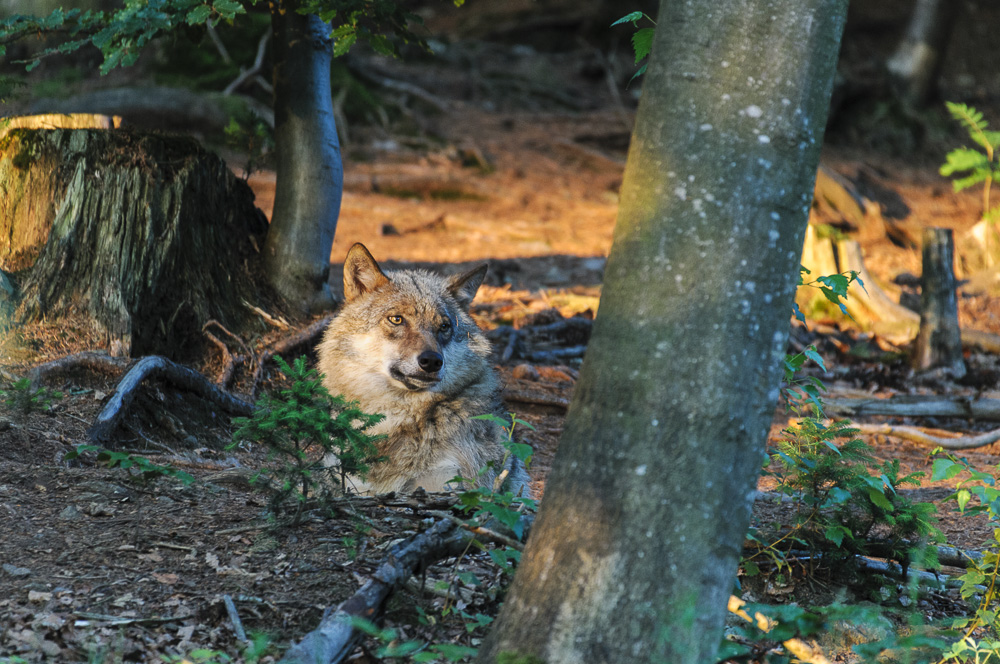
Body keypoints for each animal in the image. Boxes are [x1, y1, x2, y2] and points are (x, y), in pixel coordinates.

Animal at [316, 244, 532, 498]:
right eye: (396, 319)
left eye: (444, 326)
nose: (432, 361)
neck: (399, 418)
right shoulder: (354, 487)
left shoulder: (449, 484)